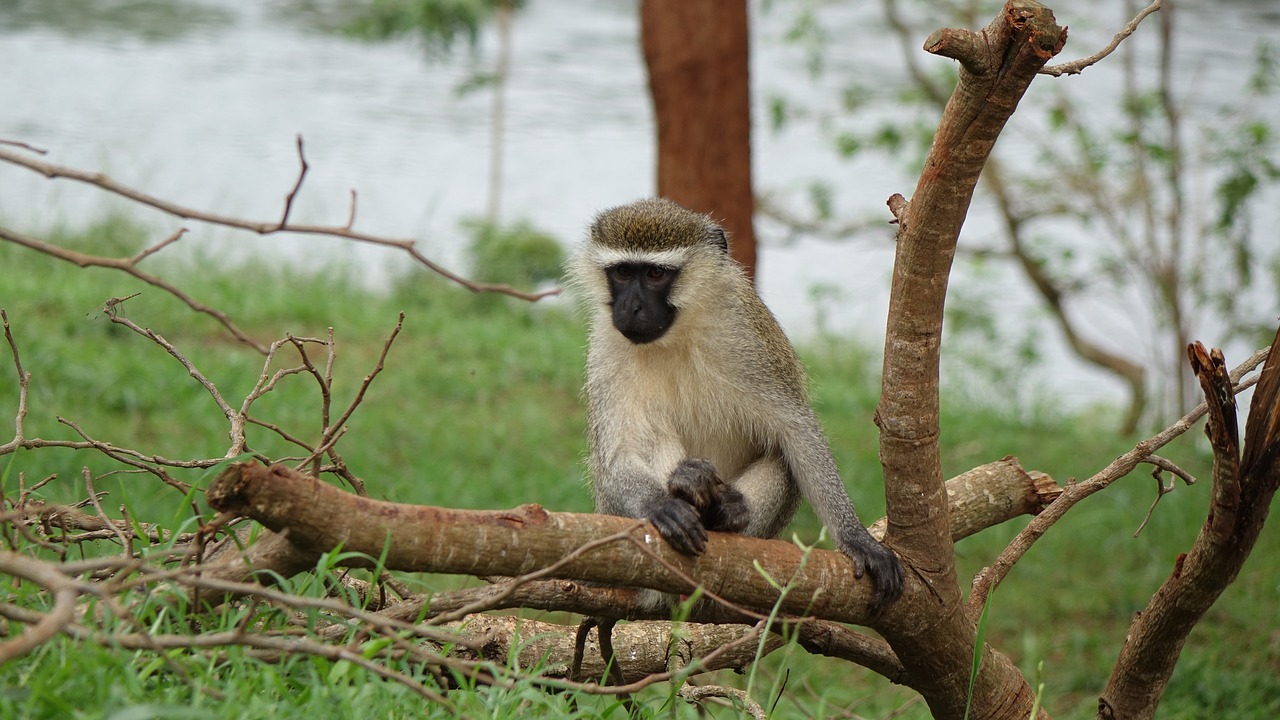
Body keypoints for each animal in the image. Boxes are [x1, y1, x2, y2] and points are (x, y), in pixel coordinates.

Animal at [565, 193, 906, 607]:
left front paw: (856, 538)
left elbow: (797, 431)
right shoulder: (605, 348)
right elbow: (615, 459)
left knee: (781, 458)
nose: (631, 308)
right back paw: (689, 489)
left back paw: (725, 513)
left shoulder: (746, 335)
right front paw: (662, 504)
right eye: (623, 273)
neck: (677, 335)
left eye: (655, 274)